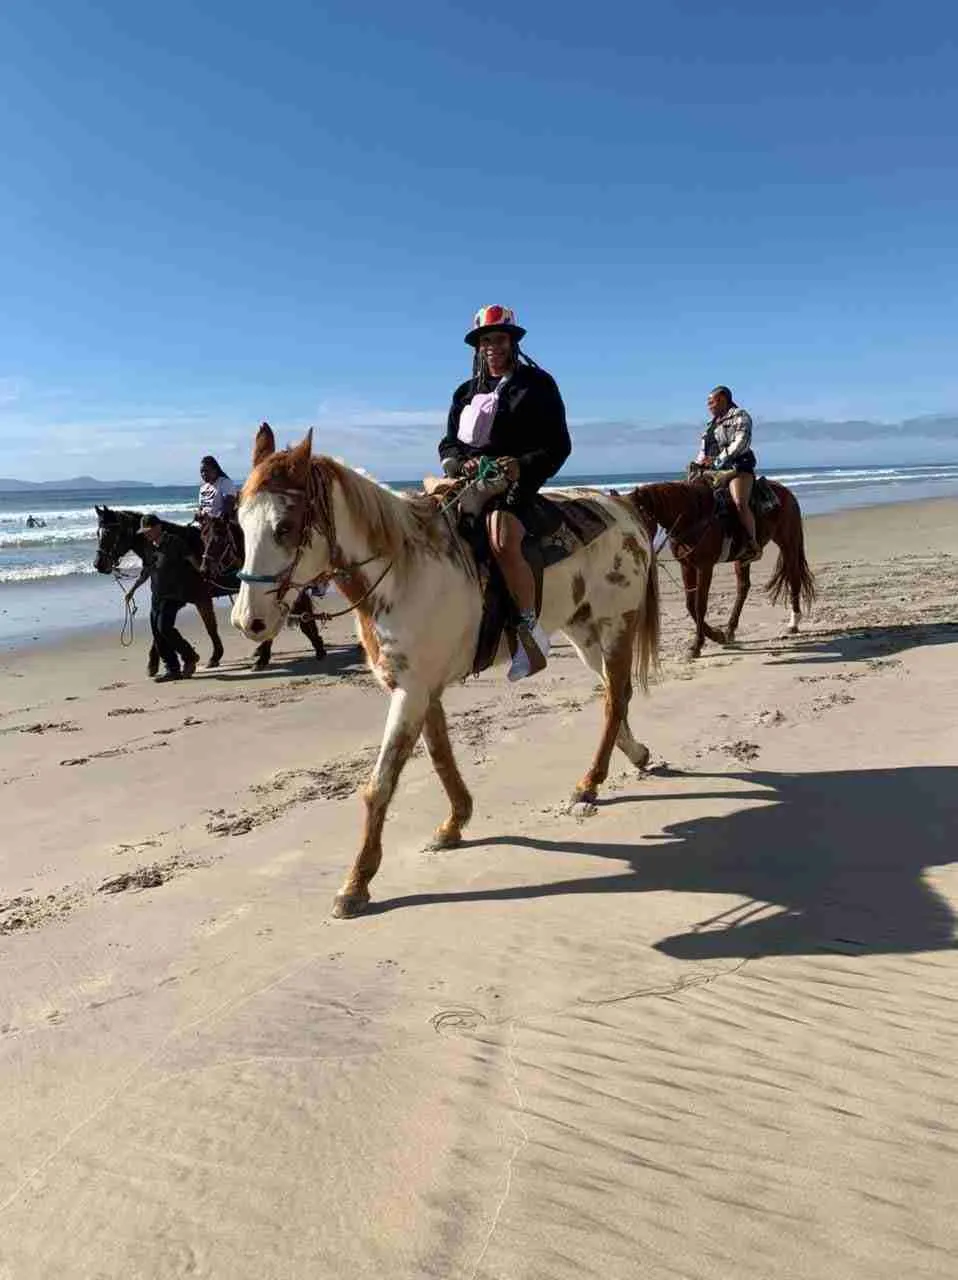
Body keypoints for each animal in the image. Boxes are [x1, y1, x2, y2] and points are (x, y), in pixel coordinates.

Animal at [94, 504, 325, 675]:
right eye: (98, 532)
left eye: (109, 532)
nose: (99, 564)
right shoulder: (170, 599)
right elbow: (158, 628)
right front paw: (155, 664)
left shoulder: (199, 598)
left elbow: (208, 627)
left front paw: (213, 657)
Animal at [231, 424, 660, 916]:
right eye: (240, 524)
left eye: (284, 527)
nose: (248, 621)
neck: (402, 572)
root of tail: (622, 509)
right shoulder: (420, 689)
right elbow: (439, 756)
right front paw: (455, 822)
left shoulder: (412, 692)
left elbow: (380, 784)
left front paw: (356, 883)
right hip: (584, 633)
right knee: (613, 693)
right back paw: (633, 756)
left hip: (616, 624)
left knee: (615, 697)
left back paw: (589, 783)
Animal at [627, 473, 814, 660]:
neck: (693, 516)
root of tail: (786, 492)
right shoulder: (687, 566)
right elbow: (690, 604)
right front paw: (717, 636)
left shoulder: (705, 567)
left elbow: (700, 605)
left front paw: (697, 645)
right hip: (742, 559)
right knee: (743, 587)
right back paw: (730, 630)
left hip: (788, 543)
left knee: (794, 578)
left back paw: (793, 623)